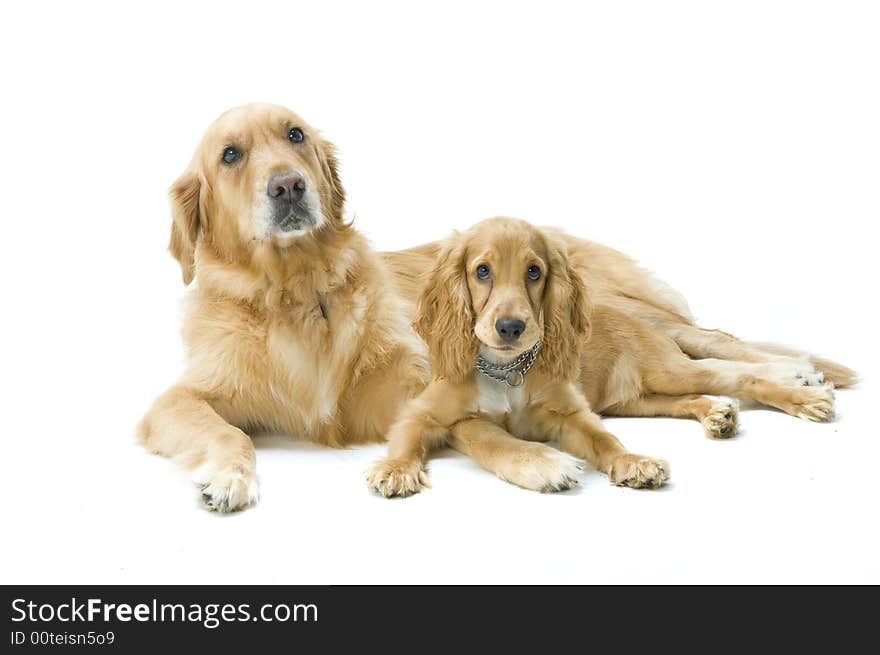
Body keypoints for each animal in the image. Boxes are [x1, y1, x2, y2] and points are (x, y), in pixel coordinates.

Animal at [140, 104, 430, 512]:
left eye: (295, 135)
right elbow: (229, 433)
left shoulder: (410, 379)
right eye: (230, 154)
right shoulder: (178, 399)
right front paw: (230, 477)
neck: (296, 292)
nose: (289, 186)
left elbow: (418, 418)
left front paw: (398, 465)